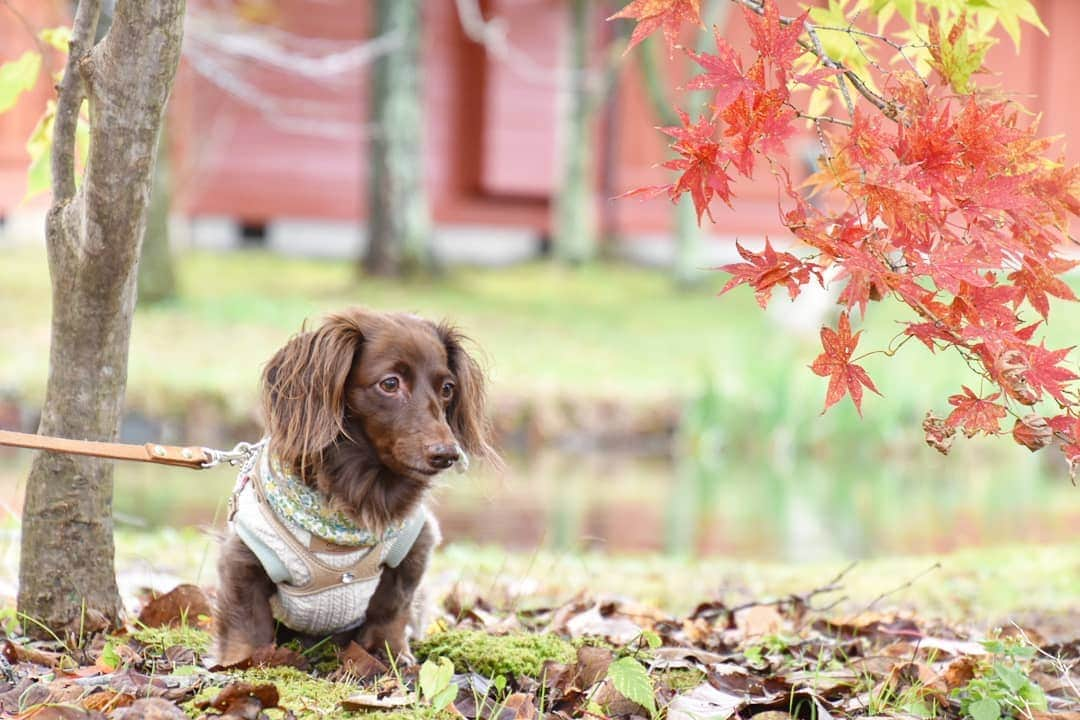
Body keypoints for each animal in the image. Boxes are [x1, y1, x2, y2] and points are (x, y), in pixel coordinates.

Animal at [213, 306, 496, 669]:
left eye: (447, 388)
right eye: (390, 383)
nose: (447, 454)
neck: (362, 490)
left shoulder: (414, 549)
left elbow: (392, 608)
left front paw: (392, 654)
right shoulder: (244, 557)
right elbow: (247, 619)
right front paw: (242, 660)